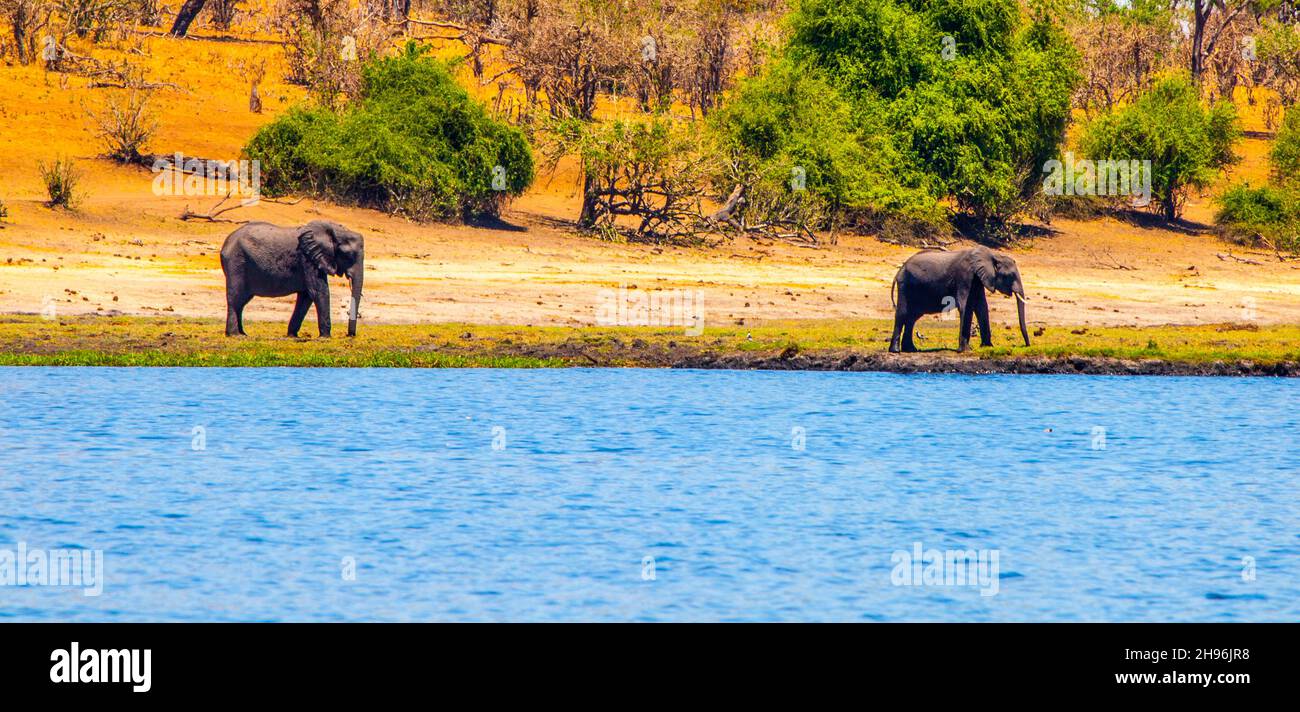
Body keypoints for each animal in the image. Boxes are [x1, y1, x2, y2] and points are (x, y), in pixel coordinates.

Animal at [217, 218, 361, 337]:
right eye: (347, 255)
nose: (349, 335)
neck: (334, 230)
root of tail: (225, 244)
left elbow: (306, 296)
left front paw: (293, 336)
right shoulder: (308, 259)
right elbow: (319, 292)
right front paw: (325, 337)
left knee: (242, 301)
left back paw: (243, 334)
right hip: (236, 263)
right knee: (235, 298)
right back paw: (235, 335)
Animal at [889, 245, 1029, 353]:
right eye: (1010, 276)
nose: (1026, 345)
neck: (993, 255)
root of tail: (900, 269)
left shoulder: (978, 280)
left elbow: (982, 308)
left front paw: (987, 347)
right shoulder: (964, 276)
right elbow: (966, 307)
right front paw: (965, 350)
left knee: (912, 317)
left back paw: (911, 350)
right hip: (905, 285)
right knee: (903, 314)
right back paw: (895, 351)